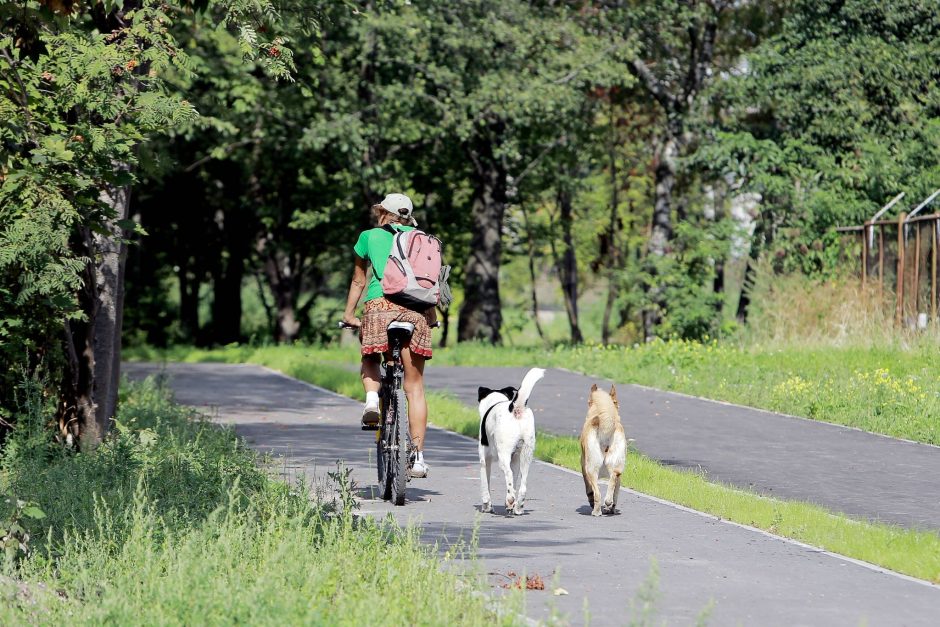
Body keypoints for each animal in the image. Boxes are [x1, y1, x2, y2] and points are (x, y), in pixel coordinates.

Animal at [478, 368, 544, 516]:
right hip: (526, 456)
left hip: (504, 455)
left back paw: (509, 501)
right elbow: (514, 481)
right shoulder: (515, 460)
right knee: (523, 485)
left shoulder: (484, 460)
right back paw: (518, 507)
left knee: (507, 474)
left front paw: (487, 506)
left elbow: (485, 486)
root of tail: (515, 408)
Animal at [576, 386, 628, 516]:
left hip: (591, 468)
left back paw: (596, 511)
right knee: (614, 478)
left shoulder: (584, 467)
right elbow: (616, 491)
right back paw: (608, 503)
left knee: (597, 493)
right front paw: (612, 507)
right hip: (616, 464)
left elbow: (588, 489)